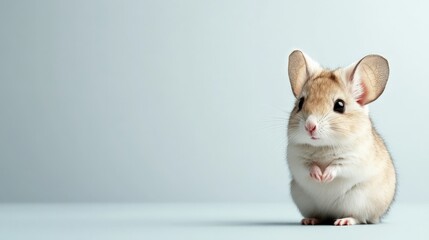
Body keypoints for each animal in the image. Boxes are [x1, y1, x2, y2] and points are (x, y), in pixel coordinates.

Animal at [286, 49, 396, 226]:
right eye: (300, 103)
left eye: (339, 105)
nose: (310, 126)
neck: (323, 146)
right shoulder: (296, 158)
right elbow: (308, 166)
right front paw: (318, 175)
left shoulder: (353, 158)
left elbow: (337, 166)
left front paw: (325, 177)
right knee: (320, 216)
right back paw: (310, 220)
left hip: (358, 200)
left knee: (359, 218)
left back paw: (343, 221)